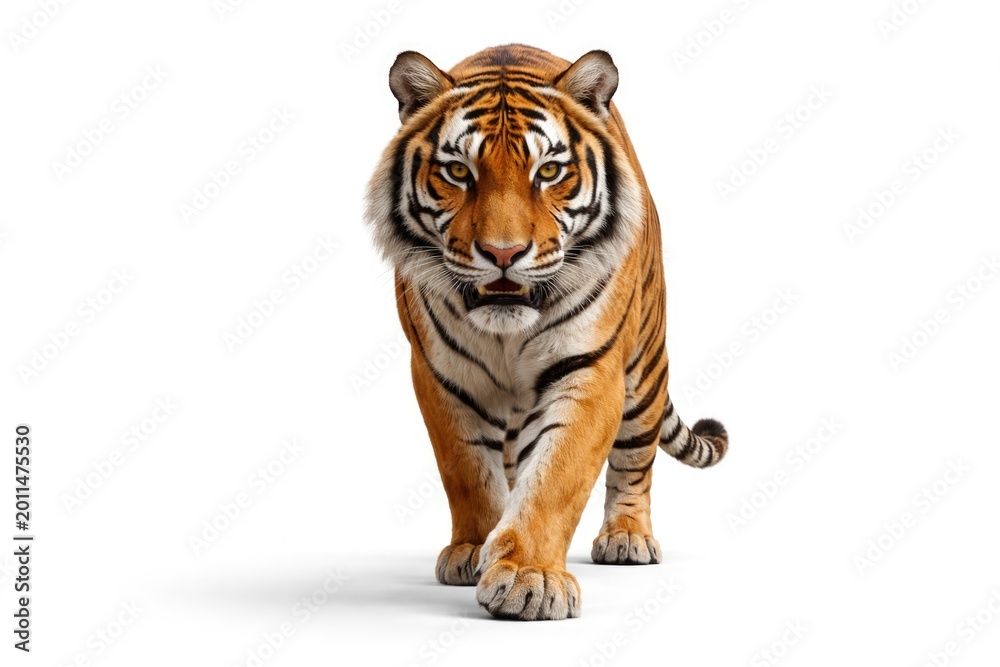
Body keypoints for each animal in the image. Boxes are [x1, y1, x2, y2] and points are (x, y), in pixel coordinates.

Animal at [364, 44, 728, 621]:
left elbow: (557, 478)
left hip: (645, 369)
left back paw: (627, 538)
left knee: (635, 461)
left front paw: (528, 577)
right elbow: (466, 471)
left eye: (550, 171)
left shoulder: (590, 371)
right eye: (458, 171)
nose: (504, 253)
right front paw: (474, 549)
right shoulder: (441, 376)